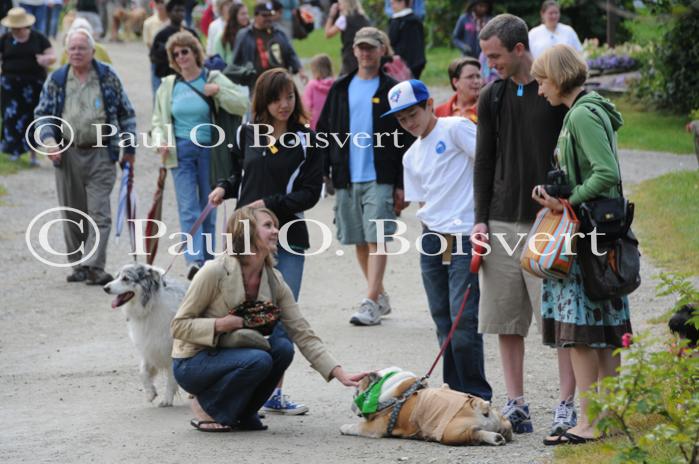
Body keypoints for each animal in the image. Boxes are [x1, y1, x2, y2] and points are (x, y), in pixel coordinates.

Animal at [102, 264, 187, 406]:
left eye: (126, 278)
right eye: (117, 276)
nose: (105, 288)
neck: (151, 306)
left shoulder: (170, 350)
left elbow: (171, 377)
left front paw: (167, 399)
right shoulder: (150, 345)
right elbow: (142, 371)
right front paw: (150, 393)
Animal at [342, 366, 512, 446]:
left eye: (356, 392)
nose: (352, 403)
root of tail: (482, 408)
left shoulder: (374, 427)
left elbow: (357, 426)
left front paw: (345, 428)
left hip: (451, 432)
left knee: (474, 434)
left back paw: (493, 437)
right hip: (501, 420)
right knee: (506, 426)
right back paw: (500, 435)